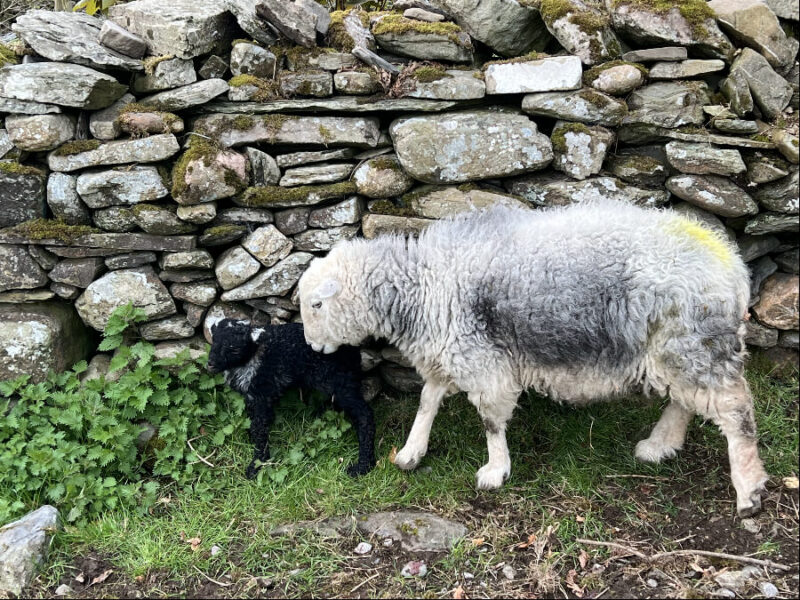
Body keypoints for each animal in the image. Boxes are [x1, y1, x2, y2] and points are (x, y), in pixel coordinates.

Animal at [207, 319, 376, 478]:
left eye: (234, 348)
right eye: (214, 340)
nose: (210, 364)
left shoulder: (262, 394)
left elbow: (259, 428)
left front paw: (257, 464)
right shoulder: (254, 397)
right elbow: (254, 422)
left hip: (341, 381)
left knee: (364, 414)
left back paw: (363, 466)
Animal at [298, 199, 769, 517]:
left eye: (317, 305)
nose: (311, 348)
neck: (424, 284)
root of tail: (733, 267)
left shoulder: (481, 359)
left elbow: (490, 421)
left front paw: (495, 470)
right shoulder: (451, 352)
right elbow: (427, 403)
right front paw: (412, 452)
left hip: (695, 340)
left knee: (735, 409)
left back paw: (748, 490)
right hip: (679, 348)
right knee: (686, 400)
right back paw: (660, 444)